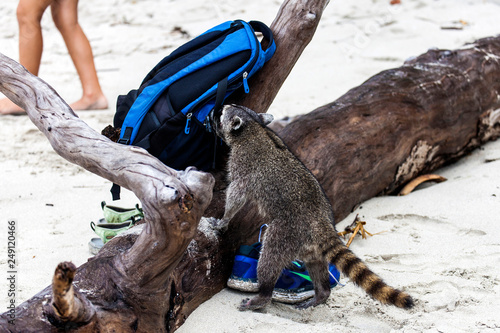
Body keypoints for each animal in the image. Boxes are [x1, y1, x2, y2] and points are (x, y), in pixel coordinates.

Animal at [216, 105, 414, 310]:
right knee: (315, 264)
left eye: (223, 114)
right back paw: (322, 292)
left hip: (286, 233)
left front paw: (225, 218)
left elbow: (237, 192)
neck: (253, 127)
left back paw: (263, 294)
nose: (220, 108)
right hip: (308, 245)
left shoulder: (243, 163)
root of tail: (320, 222)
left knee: (269, 258)